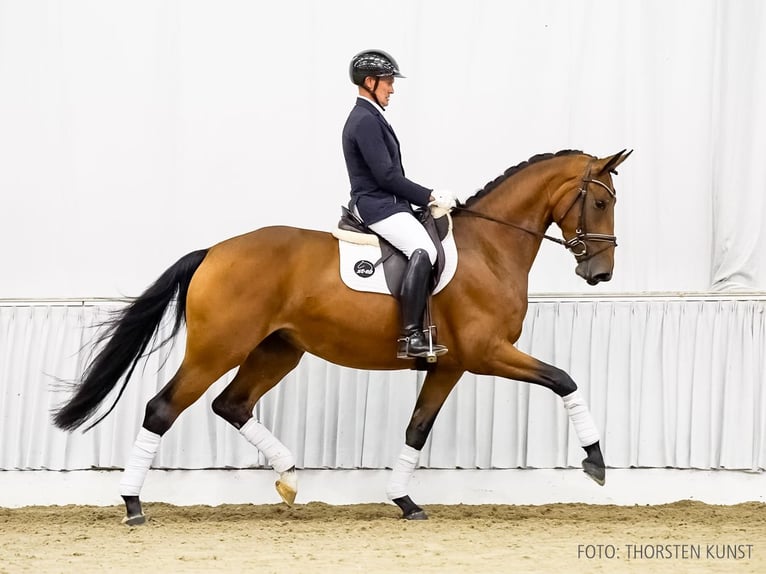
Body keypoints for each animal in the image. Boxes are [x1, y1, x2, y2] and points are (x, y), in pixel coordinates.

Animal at [52, 148, 632, 528]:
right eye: (601, 203)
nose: (600, 273)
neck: (490, 247)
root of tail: (214, 251)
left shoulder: (449, 364)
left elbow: (416, 430)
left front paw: (403, 501)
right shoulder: (488, 353)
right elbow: (564, 379)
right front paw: (596, 463)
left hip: (278, 350)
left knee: (232, 404)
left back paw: (289, 477)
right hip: (218, 349)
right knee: (162, 408)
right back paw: (132, 505)